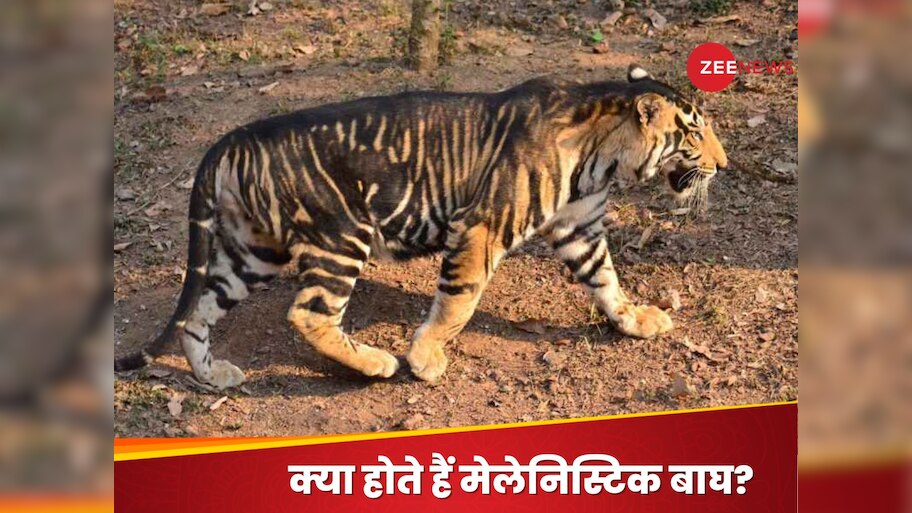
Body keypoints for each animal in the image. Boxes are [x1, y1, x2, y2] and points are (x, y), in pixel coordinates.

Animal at [114, 64, 728, 389]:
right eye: (695, 133)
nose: (723, 165)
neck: (603, 156)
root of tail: (235, 137)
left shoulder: (580, 228)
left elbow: (607, 280)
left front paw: (636, 320)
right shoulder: (482, 227)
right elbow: (459, 300)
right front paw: (425, 358)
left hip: (252, 252)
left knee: (199, 311)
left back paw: (212, 374)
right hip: (341, 236)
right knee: (309, 313)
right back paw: (375, 363)